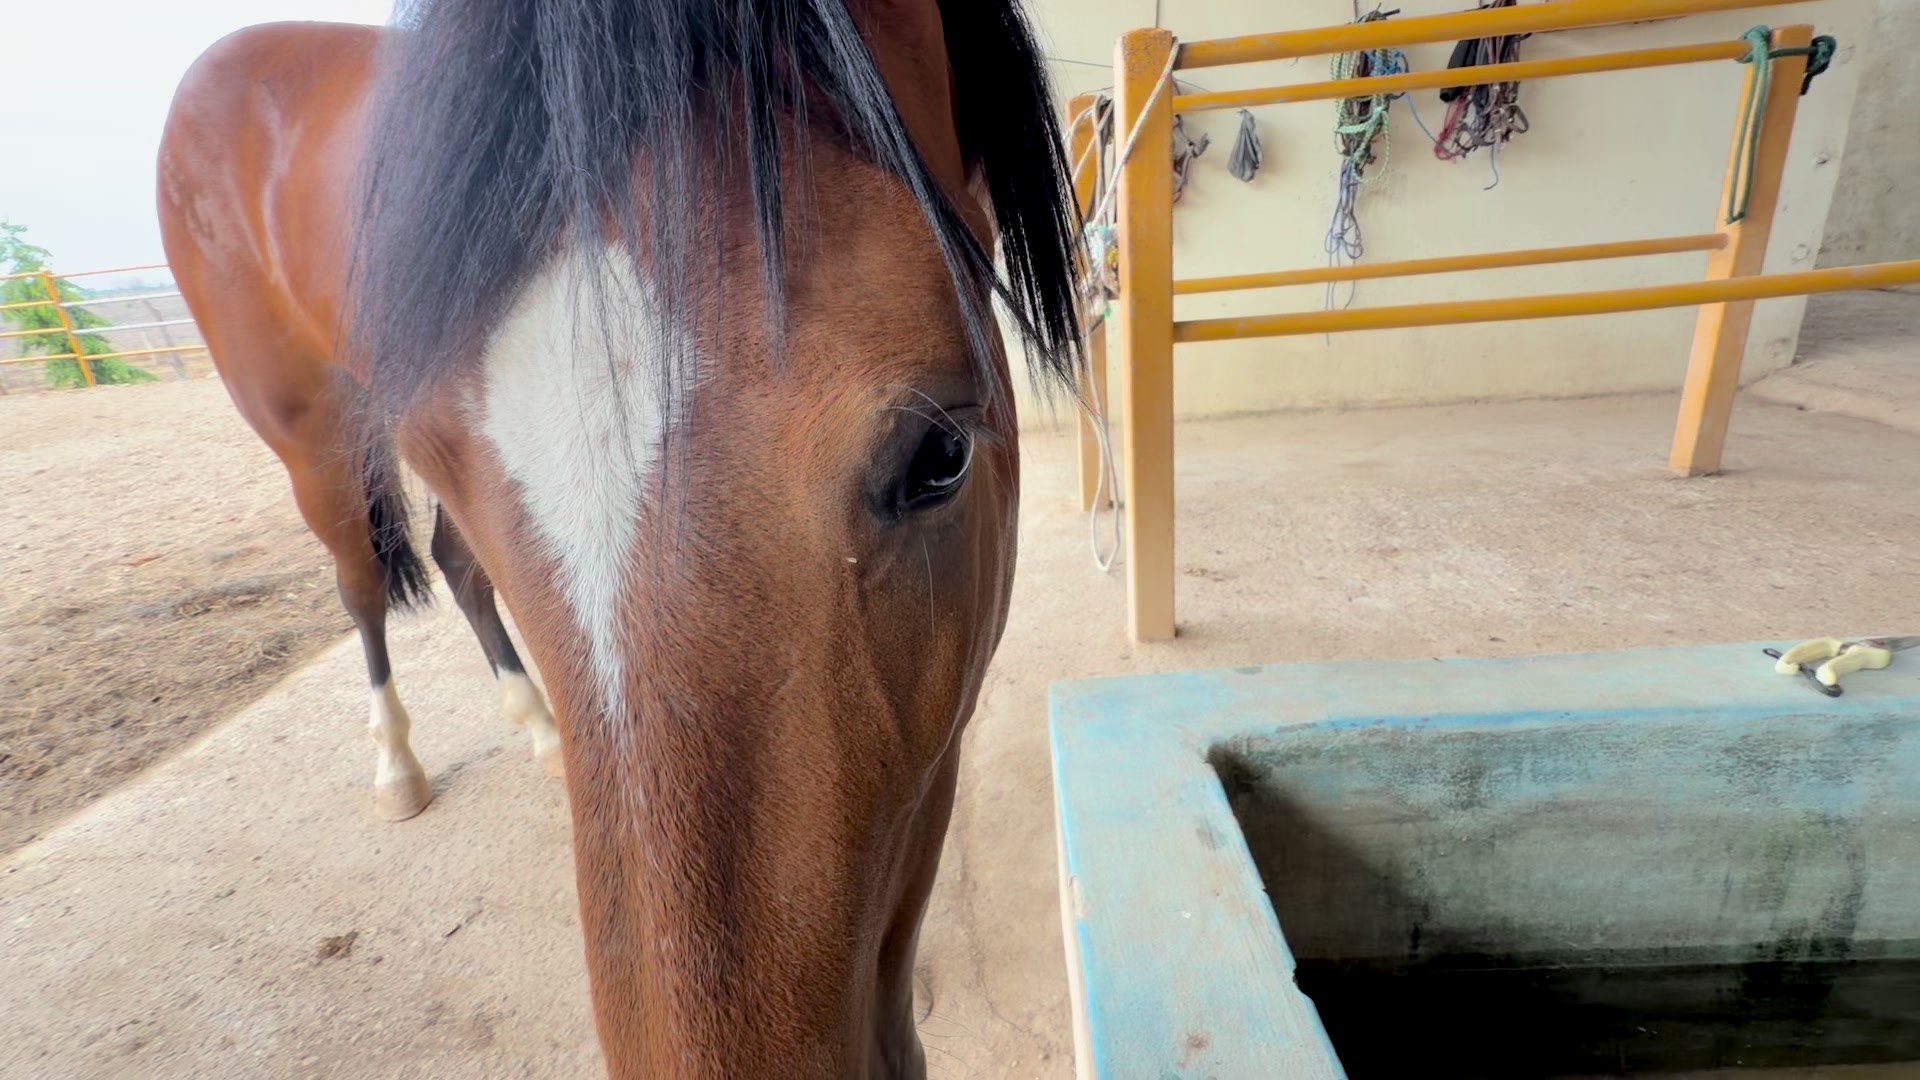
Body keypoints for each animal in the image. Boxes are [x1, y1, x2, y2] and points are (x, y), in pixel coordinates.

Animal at [156, 0, 1081, 1075]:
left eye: (942, 455)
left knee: (458, 569)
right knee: (360, 587)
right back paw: (397, 764)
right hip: (308, 437)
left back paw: (532, 721)